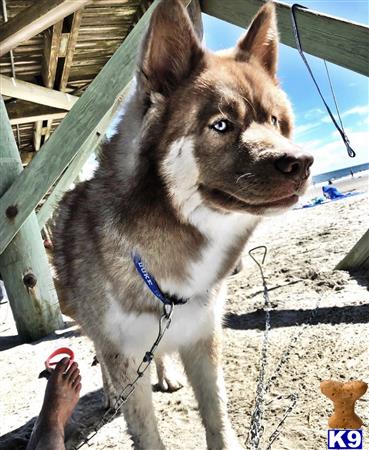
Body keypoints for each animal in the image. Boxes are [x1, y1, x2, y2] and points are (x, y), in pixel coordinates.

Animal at [53, 0, 312, 450]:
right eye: (221, 124)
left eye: (275, 121)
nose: (302, 163)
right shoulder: (123, 356)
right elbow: (145, 429)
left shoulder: (203, 340)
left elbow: (217, 416)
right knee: (99, 359)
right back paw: (109, 396)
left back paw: (166, 375)